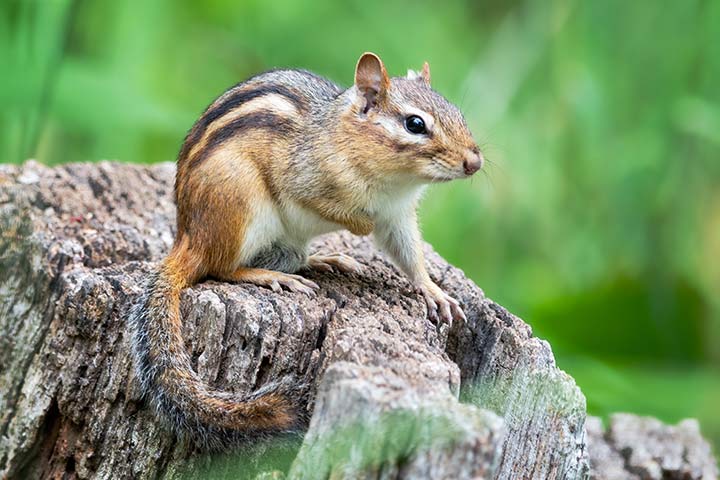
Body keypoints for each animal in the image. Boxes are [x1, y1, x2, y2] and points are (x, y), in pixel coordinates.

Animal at [128, 52, 484, 450]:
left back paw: (323, 260)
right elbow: (334, 209)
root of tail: (186, 236)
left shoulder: (398, 216)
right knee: (222, 267)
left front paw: (434, 292)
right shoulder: (302, 180)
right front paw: (361, 224)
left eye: (458, 113)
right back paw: (272, 277)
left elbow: (410, 255)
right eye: (415, 124)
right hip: (240, 206)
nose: (474, 162)